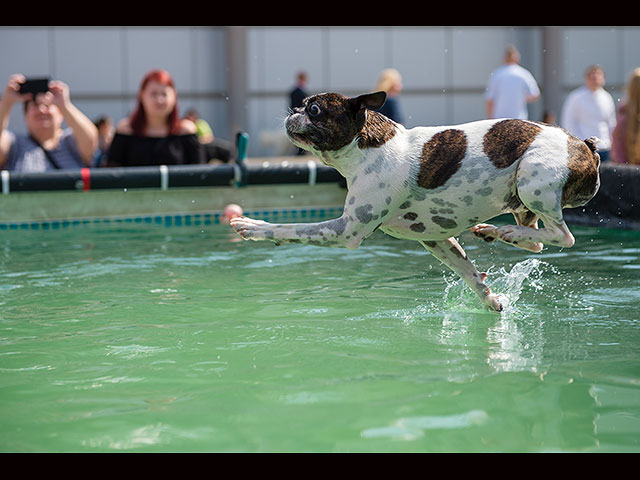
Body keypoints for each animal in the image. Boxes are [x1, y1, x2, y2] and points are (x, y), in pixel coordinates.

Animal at [231, 92, 600, 312]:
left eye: (314, 109)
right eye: (302, 105)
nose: (292, 111)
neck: (367, 149)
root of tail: (585, 145)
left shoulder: (345, 230)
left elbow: (289, 228)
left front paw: (251, 225)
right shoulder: (435, 239)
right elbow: (468, 272)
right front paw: (490, 298)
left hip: (533, 182)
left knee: (563, 236)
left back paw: (505, 233)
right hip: (522, 201)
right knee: (537, 242)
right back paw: (497, 233)